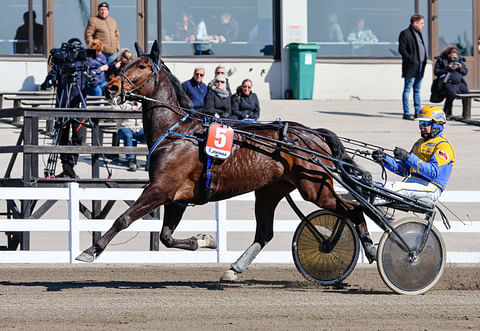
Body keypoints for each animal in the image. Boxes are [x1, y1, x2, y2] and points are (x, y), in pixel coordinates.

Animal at [76, 41, 376, 280]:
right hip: (270, 190)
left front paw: (91, 250)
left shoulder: (160, 189)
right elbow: (166, 237)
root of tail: (313, 134)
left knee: (353, 209)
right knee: (264, 232)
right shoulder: (177, 197)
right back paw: (234, 268)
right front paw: (204, 240)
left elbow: (123, 219)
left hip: (316, 188)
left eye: (142, 66)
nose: (111, 87)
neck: (176, 131)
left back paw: (370, 246)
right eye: (124, 63)